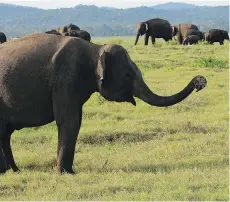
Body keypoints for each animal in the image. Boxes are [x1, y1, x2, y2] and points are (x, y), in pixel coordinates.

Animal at [0, 33, 208, 174]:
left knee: (5, 133)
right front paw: (66, 174)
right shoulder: (65, 79)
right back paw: (8, 171)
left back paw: (13, 171)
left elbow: (75, 120)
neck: (95, 48)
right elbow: (69, 121)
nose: (200, 82)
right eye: (128, 76)